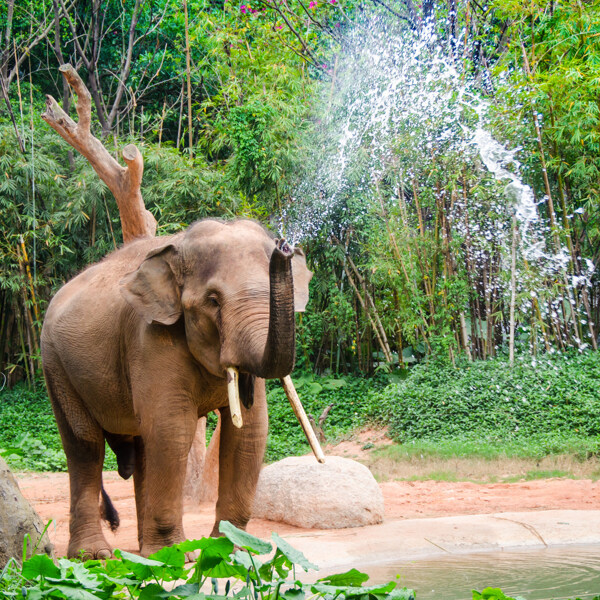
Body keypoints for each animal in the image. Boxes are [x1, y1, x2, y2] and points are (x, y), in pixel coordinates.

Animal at [40, 219, 312, 556]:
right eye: (213, 300)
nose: (284, 247)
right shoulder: (149, 338)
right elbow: (172, 429)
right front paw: (175, 554)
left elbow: (249, 431)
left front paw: (230, 550)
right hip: (56, 365)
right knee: (85, 446)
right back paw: (96, 555)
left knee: (142, 448)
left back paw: (143, 552)